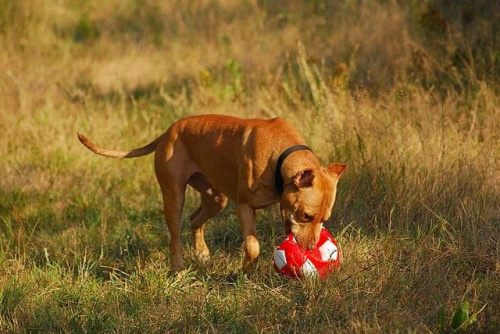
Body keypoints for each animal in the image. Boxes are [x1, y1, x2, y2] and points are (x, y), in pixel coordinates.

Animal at [78, 114, 346, 272]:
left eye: (324, 219)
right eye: (306, 216)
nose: (311, 249)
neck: (281, 154)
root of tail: (168, 132)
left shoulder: (284, 208)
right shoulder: (244, 207)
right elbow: (252, 247)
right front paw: (244, 273)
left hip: (216, 198)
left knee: (195, 219)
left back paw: (202, 254)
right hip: (174, 196)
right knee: (175, 236)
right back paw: (179, 270)